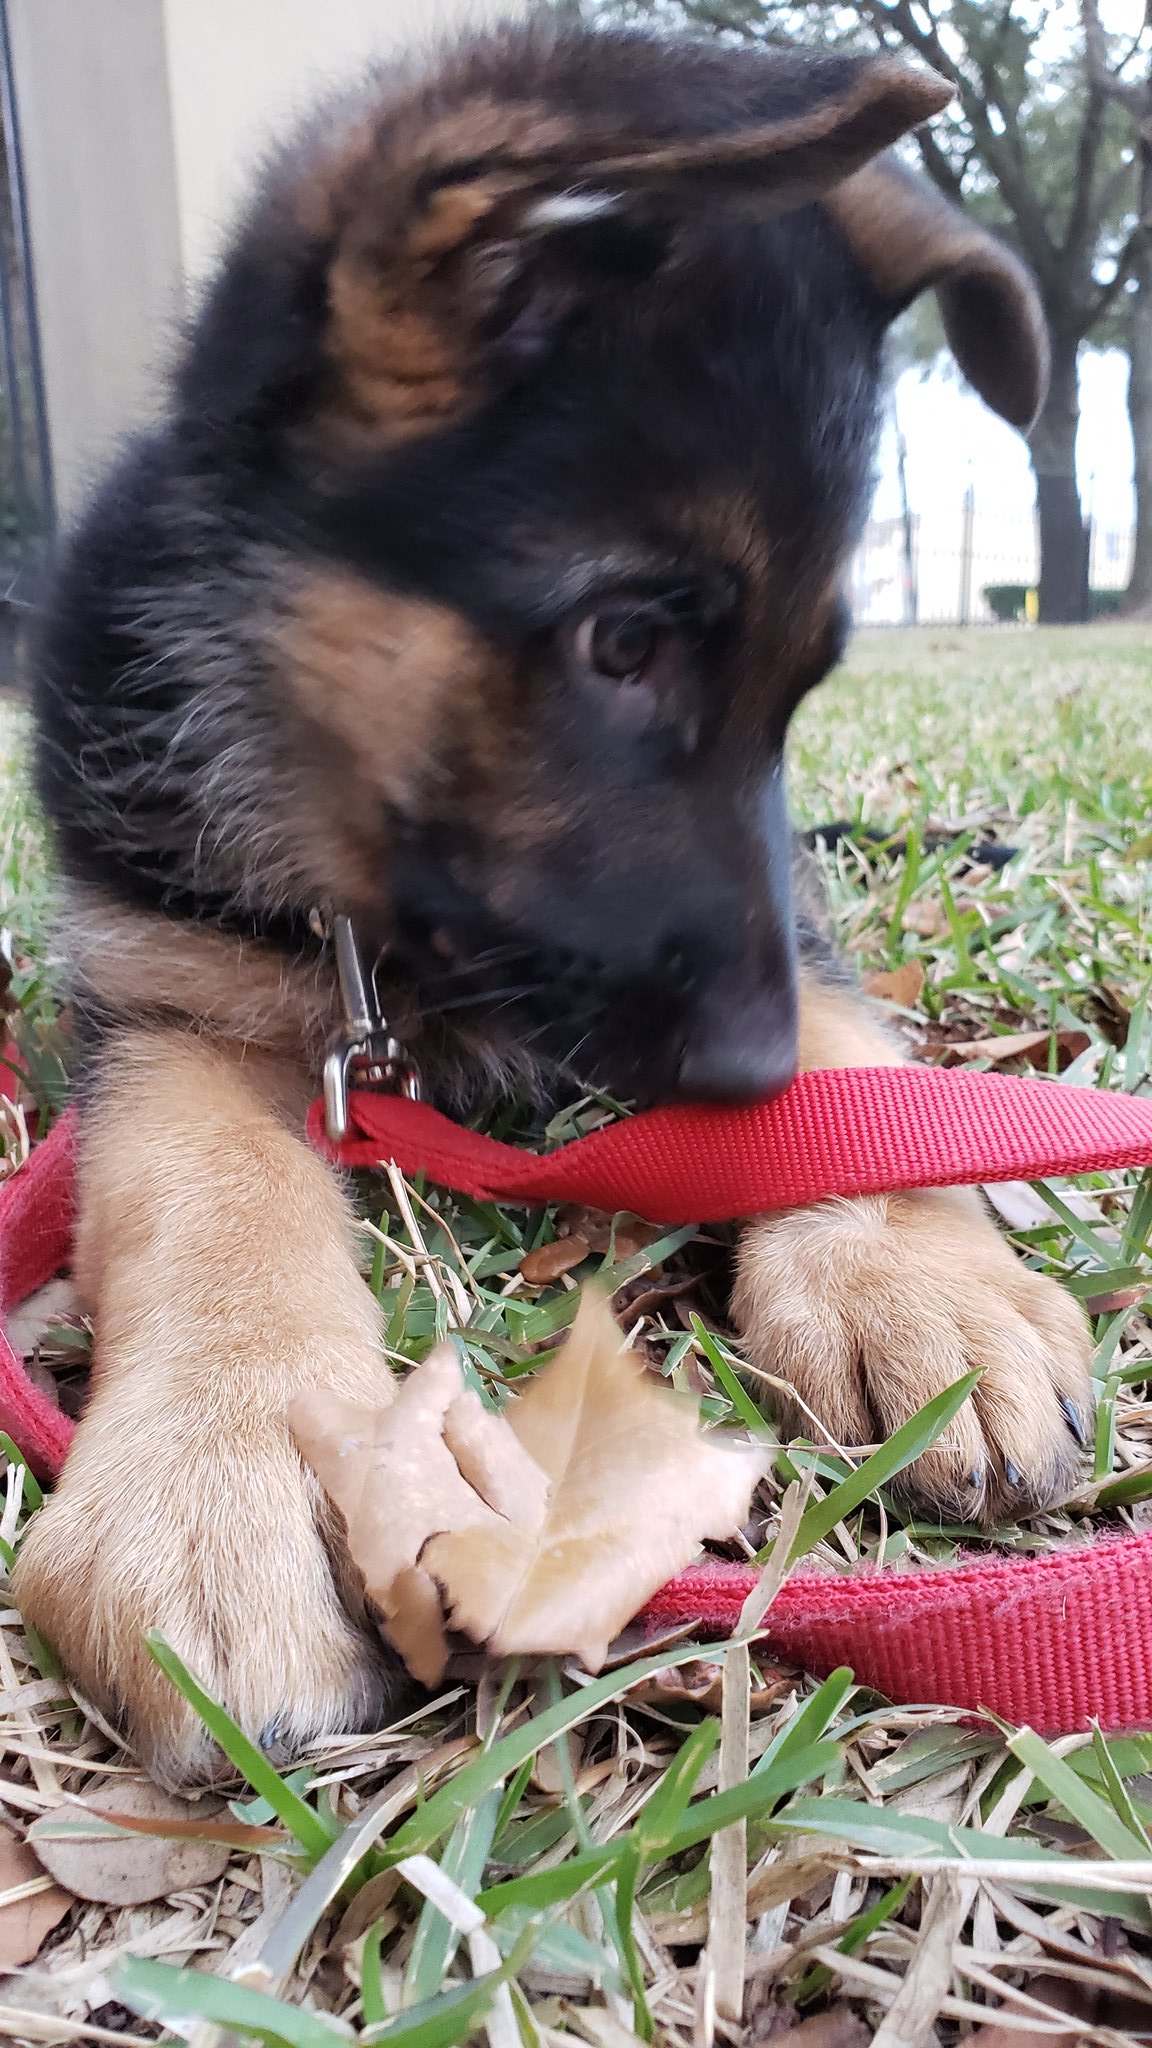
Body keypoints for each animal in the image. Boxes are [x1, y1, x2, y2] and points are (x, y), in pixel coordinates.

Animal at [14, 17, 1092, 1786]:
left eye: (803, 683)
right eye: (624, 640)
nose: (742, 1080)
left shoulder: (787, 927)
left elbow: (849, 1042)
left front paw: (903, 1268)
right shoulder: (164, 996)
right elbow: (208, 1189)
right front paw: (237, 1461)